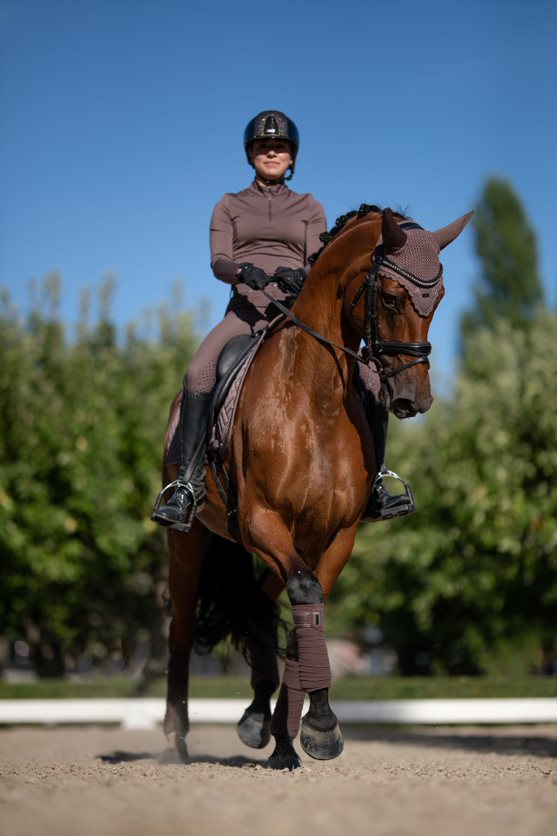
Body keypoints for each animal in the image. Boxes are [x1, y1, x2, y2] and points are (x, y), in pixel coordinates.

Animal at [162, 206, 474, 768]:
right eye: (390, 297)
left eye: (437, 299)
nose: (414, 399)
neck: (316, 399)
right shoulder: (262, 519)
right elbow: (306, 594)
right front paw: (316, 727)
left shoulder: (336, 533)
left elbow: (311, 610)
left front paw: (302, 732)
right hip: (189, 543)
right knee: (181, 631)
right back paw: (176, 738)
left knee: (257, 603)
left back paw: (258, 718)